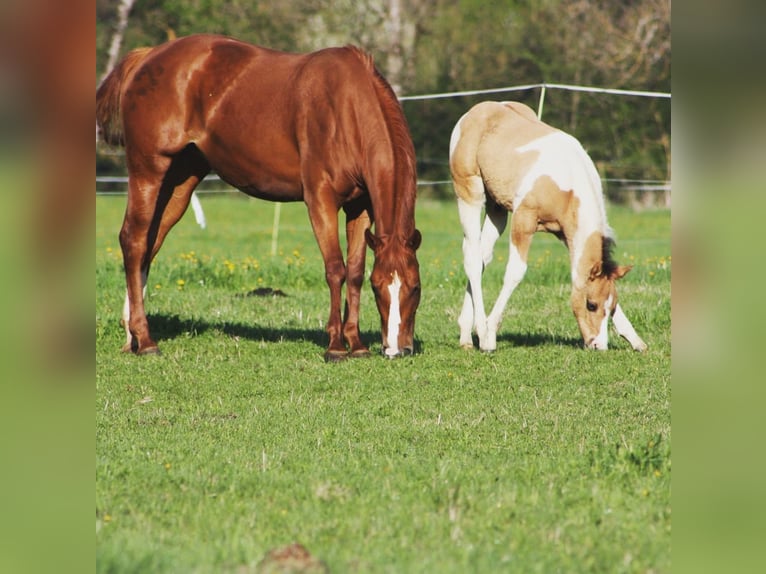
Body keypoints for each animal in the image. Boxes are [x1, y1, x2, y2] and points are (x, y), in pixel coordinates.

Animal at [96, 34, 422, 362]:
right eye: (379, 288)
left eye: (416, 287)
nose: (398, 349)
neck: (346, 108)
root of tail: (148, 55)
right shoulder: (321, 200)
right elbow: (335, 270)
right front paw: (335, 346)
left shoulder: (360, 207)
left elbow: (354, 273)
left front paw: (356, 343)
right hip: (149, 171)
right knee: (134, 241)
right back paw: (146, 340)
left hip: (180, 181)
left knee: (150, 245)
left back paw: (132, 336)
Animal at [449, 101, 646, 352]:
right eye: (591, 305)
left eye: (610, 307)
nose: (597, 345)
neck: (566, 183)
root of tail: (475, 111)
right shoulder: (524, 220)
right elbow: (515, 272)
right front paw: (490, 334)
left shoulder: (568, 234)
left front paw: (634, 339)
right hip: (469, 194)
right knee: (473, 258)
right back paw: (479, 332)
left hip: (497, 208)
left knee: (483, 256)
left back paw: (466, 335)